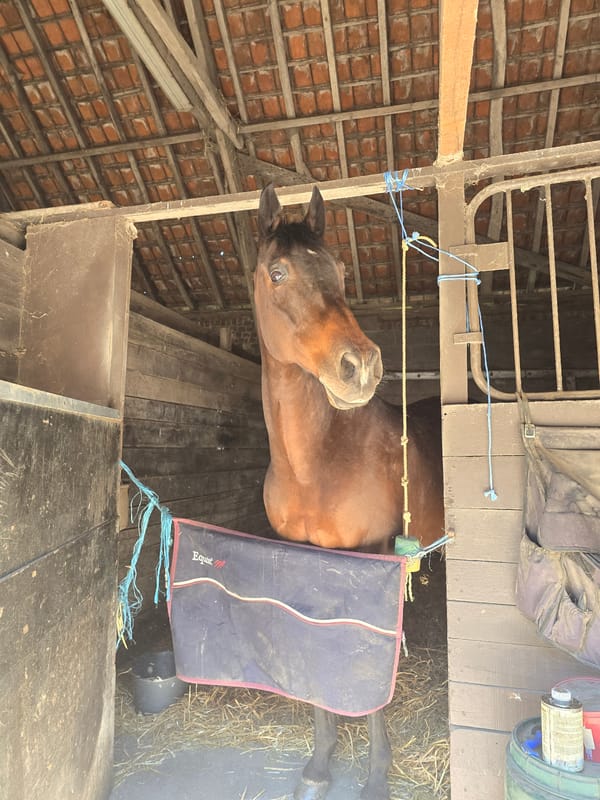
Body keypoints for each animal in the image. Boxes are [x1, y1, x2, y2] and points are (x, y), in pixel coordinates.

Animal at [254, 183, 444, 800]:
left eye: (338, 270)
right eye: (278, 272)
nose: (358, 366)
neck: (316, 464)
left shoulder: (372, 557)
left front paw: (377, 773)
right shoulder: (304, 557)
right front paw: (319, 764)